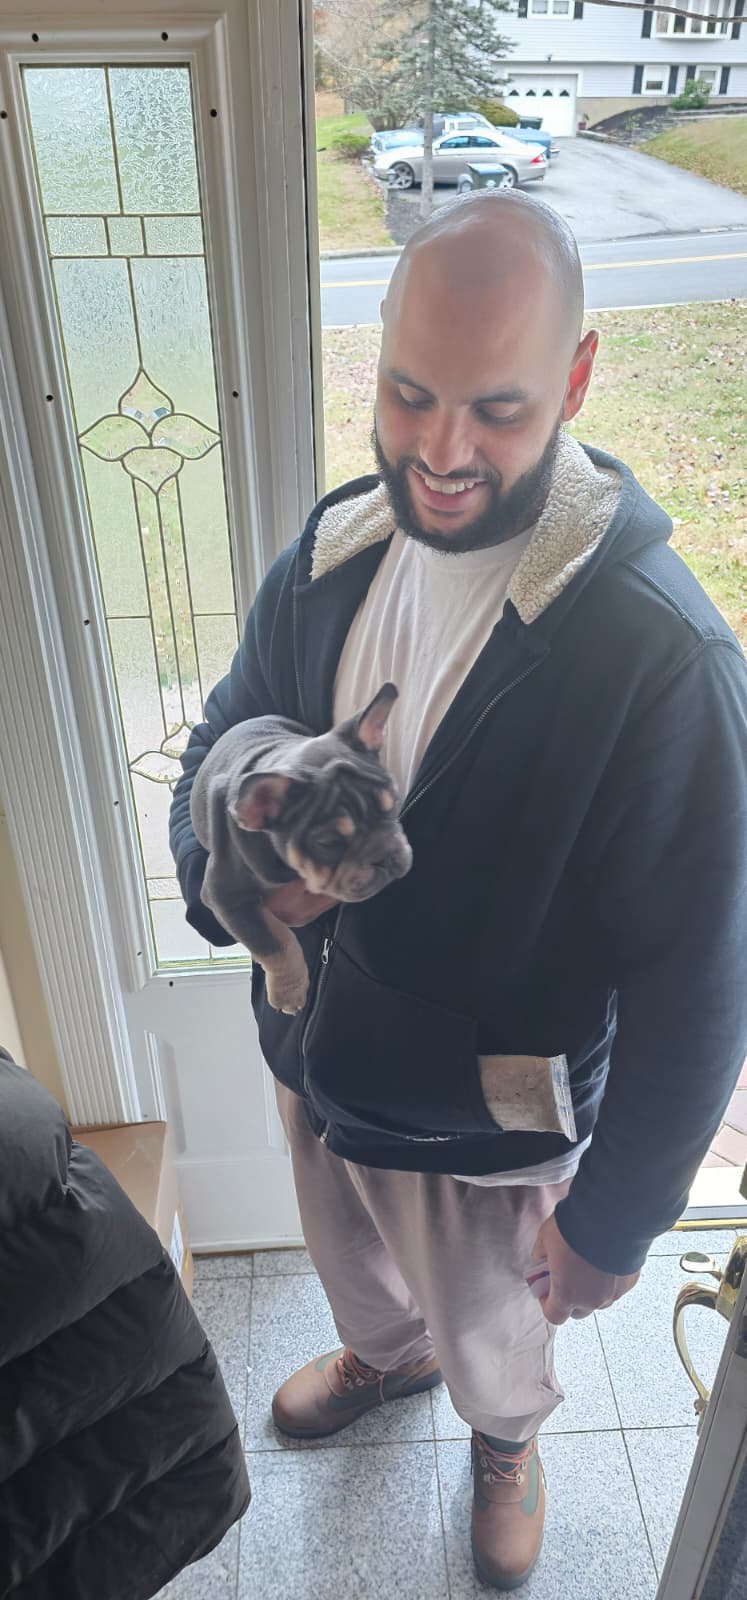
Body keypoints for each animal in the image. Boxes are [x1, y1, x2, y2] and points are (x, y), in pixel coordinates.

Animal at [190, 684, 412, 1014]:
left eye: (393, 804)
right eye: (329, 844)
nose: (386, 856)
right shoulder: (227, 897)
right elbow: (275, 941)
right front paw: (288, 992)